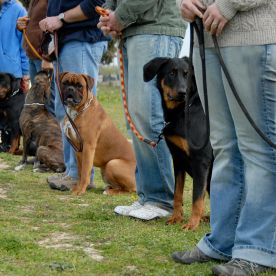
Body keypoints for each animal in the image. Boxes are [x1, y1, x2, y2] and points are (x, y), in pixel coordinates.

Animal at [143, 56, 212, 231]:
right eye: (172, 73)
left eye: (187, 75)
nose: (182, 93)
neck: (182, 112)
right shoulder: (178, 159)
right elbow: (177, 193)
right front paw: (176, 218)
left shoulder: (201, 160)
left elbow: (196, 197)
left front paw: (192, 224)